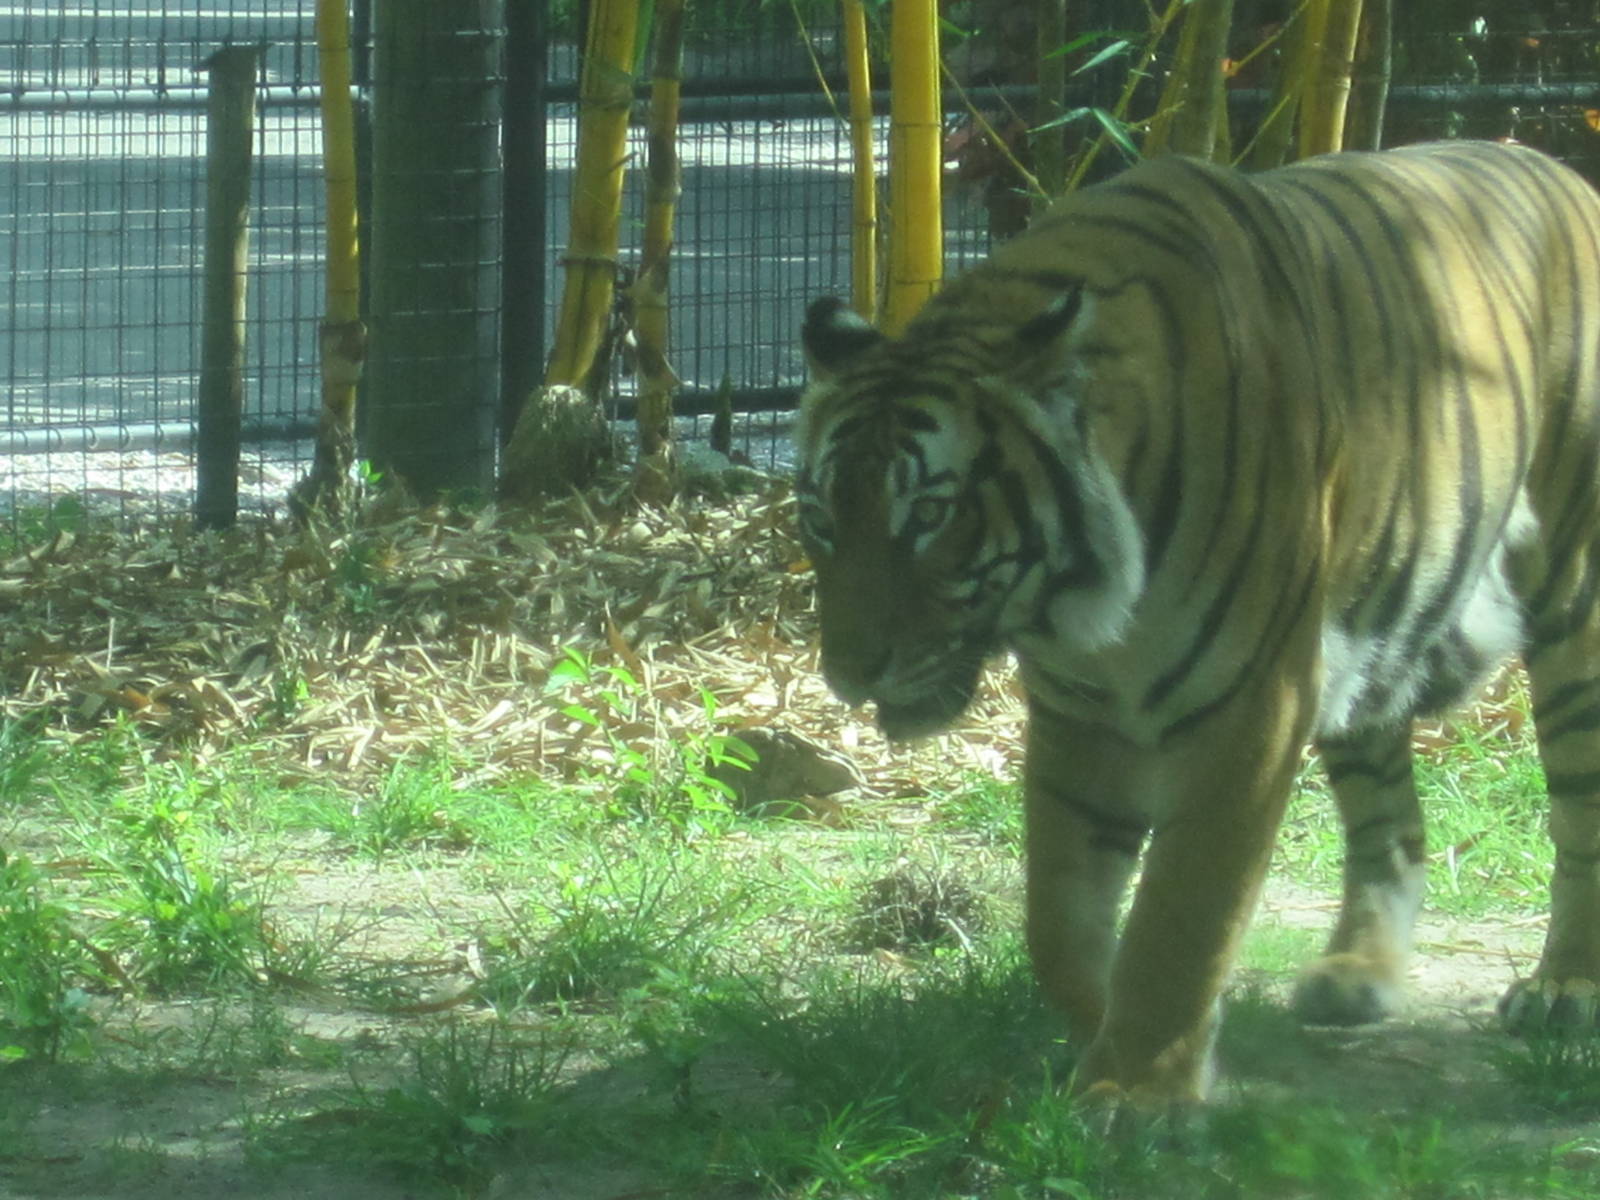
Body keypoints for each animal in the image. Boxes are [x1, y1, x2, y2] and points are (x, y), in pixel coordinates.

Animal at [793, 139, 1600, 1110]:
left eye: (928, 517)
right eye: (821, 521)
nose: (848, 673)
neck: (1082, 609)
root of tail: (1559, 170)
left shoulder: (1254, 706)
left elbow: (1181, 912)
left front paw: (1139, 1094)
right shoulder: (1078, 716)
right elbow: (1057, 920)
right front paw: (1120, 1044)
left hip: (1570, 600)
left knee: (1582, 808)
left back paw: (1564, 989)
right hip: (1369, 632)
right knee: (1390, 824)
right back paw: (1358, 975)